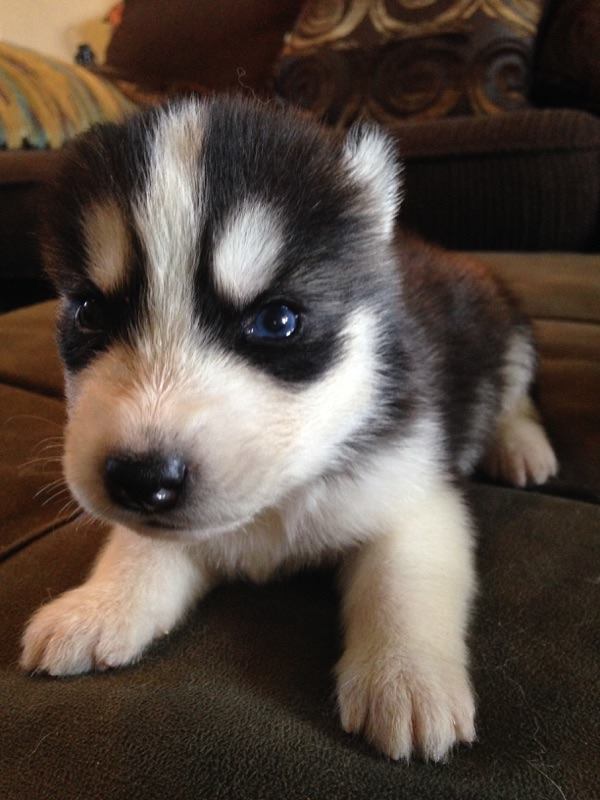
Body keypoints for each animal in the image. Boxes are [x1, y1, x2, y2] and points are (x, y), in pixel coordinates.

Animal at [22, 98, 556, 764]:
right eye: (89, 312)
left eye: (277, 321)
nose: (142, 479)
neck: (277, 500)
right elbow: (141, 549)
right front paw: (97, 606)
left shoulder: (412, 491)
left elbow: (404, 581)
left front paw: (407, 677)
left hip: (502, 332)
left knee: (516, 392)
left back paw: (522, 446)